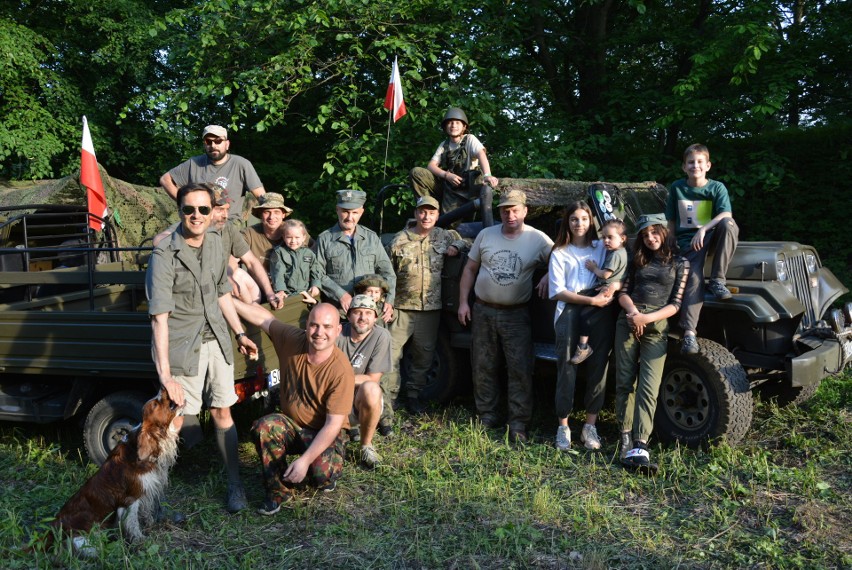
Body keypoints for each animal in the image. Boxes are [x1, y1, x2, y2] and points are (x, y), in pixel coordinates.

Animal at [45, 388, 181, 552]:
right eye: (155, 404)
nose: (163, 388)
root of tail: (50, 532)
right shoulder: (130, 499)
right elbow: (133, 524)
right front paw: (141, 541)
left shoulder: (148, 490)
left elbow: (147, 511)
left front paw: (150, 524)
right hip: (85, 539)